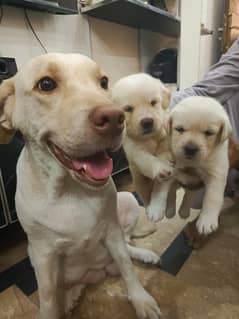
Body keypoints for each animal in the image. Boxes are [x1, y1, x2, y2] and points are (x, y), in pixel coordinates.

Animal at [0, 53, 161, 318]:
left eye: (103, 82)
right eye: (46, 84)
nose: (115, 118)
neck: (69, 189)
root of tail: (97, 274)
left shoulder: (112, 231)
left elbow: (128, 268)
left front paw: (141, 300)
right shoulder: (43, 255)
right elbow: (48, 298)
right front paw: (55, 306)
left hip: (127, 200)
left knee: (127, 247)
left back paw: (144, 254)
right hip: (33, 254)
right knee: (69, 285)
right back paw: (70, 296)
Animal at [111, 73, 173, 222]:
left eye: (153, 102)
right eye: (128, 108)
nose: (147, 122)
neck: (149, 138)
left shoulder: (166, 143)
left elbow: (161, 186)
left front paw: (156, 208)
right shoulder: (136, 153)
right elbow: (149, 160)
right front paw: (161, 168)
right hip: (139, 182)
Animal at [168, 95, 232, 235]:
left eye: (209, 132)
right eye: (179, 129)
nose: (190, 149)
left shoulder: (217, 171)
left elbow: (212, 197)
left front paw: (207, 221)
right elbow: (169, 189)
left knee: (189, 194)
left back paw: (183, 211)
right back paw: (172, 210)